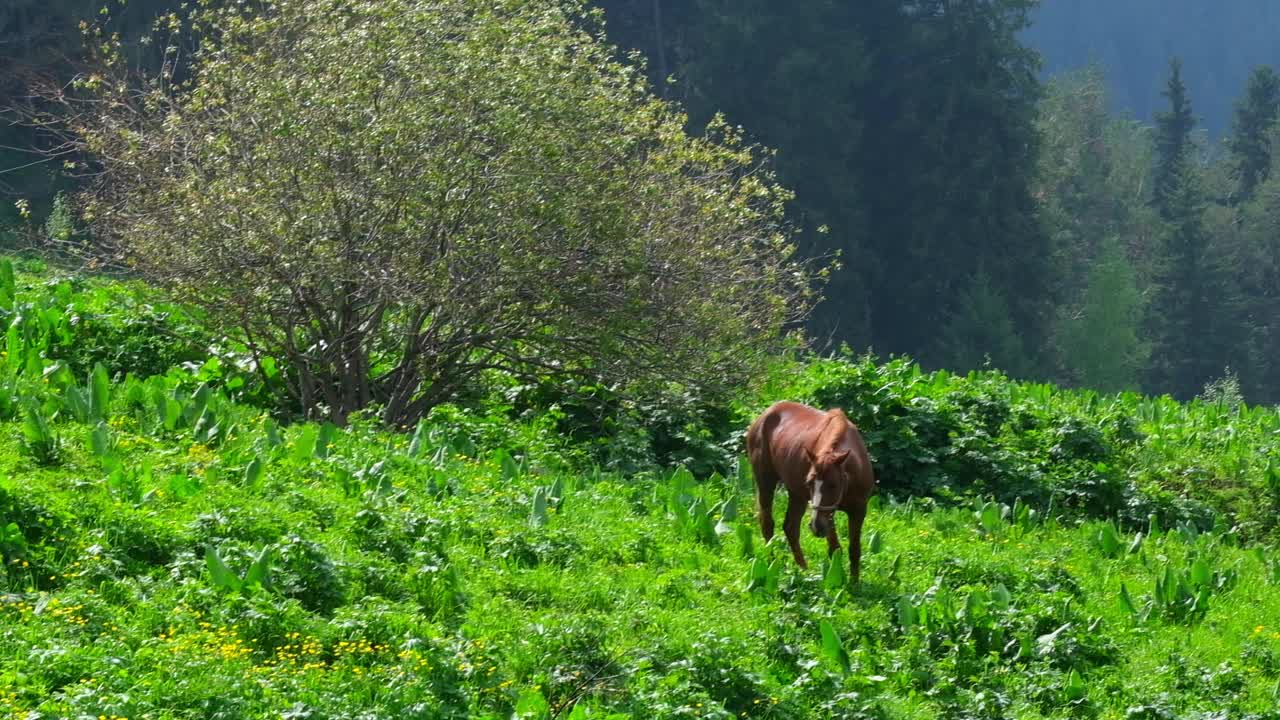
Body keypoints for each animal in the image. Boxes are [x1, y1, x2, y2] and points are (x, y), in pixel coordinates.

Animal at [747, 399, 875, 579]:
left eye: (833, 485)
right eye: (809, 483)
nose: (816, 526)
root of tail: (765, 415)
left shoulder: (858, 509)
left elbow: (854, 549)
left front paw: (854, 582)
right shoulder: (827, 513)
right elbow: (835, 549)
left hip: (797, 495)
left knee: (790, 528)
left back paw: (803, 569)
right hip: (766, 483)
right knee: (767, 524)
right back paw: (772, 564)